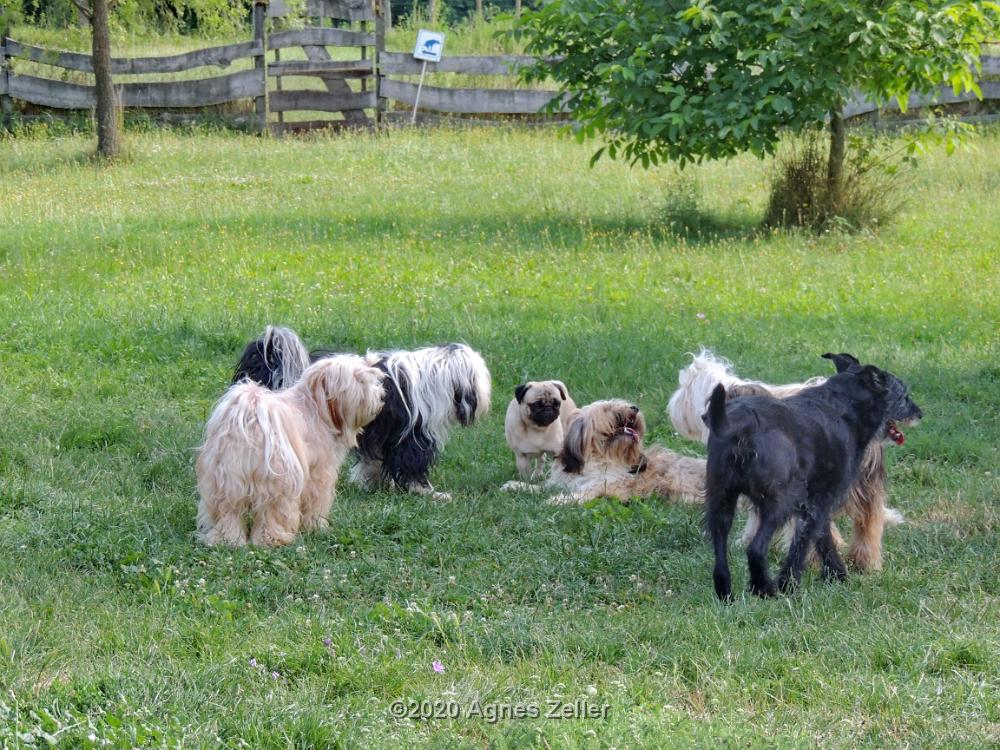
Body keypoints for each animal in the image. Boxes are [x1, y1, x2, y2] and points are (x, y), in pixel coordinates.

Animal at [197, 356, 384, 548]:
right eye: (359, 380)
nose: (381, 396)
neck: (316, 407)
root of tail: (250, 419)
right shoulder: (319, 475)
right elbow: (316, 503)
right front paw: (317, 527)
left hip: (226, 482)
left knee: (228, 512)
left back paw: (227, 541)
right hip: (277, 484)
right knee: (270, 513)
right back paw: (273, 539)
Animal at [228, 326, 492, 502]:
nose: (485, 402)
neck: (438, 372)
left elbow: (372, 461)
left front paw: (369, 482)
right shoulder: (414, 433)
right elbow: (411, 464)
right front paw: (427, 492)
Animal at [504, 400, 708, 512]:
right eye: (608, 407)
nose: (635, 408)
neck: (602, 457)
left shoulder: (610, 485)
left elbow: (585, 493)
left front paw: (558, 500)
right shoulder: (565, 481)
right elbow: (541, 487)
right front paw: (516, 485)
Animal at [704, 354, 920, 604]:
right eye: (904, 395)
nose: (920, 413)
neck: (843, 404)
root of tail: (743, 423)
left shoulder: (814, 505)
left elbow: (822, 540)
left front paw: (837, 575)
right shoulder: (821, 500)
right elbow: (802, 546)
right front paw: (789, 585)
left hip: (720, 502)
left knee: (720, 551)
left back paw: (725, 593)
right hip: (779, 503)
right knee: (756, 549)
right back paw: (764, 588)